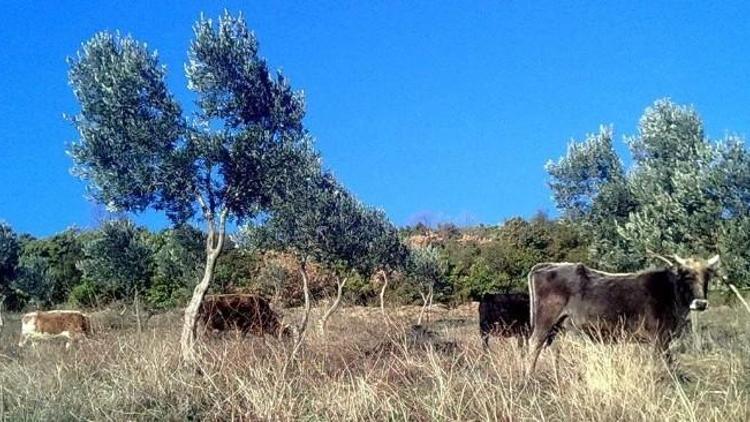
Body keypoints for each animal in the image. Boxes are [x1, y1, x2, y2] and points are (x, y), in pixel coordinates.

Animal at [528, 254, 724, 372]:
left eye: (707, 276)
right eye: (687, 276)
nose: (701, 303)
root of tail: (549, 266)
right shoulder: (660, 337)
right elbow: (664, 363)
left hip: (558, 326)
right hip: (545, 320)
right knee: (535, 344)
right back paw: (529, 377)